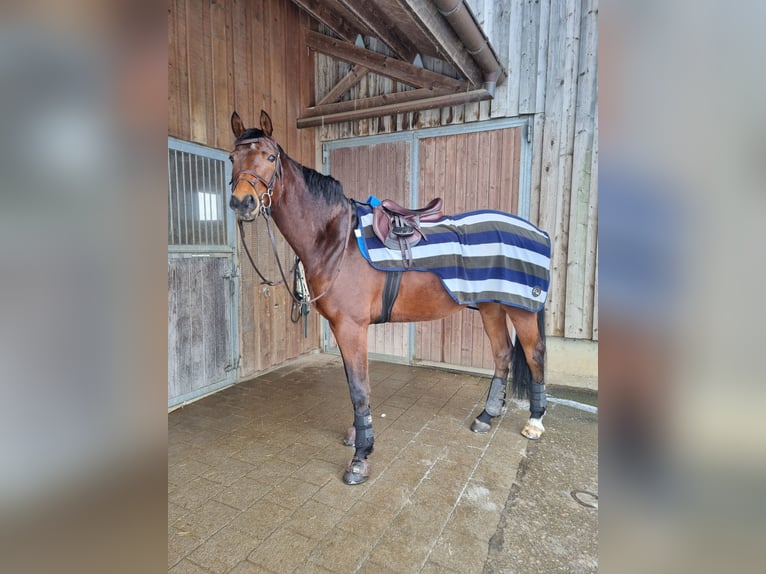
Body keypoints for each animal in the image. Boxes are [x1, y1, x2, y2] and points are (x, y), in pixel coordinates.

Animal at [228, 110, 549, 485]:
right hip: (491, 308)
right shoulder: (343, 328)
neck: (335, 239)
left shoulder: (351, 327)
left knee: (534, 355)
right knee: (502, 355)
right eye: (232, 157)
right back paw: (486, 416)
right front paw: (356, 435)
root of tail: (537, 231)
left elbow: (359, 388)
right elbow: (354, 384)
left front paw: (360, 457)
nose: (242, 202)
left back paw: (534, 422)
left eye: (270, 157)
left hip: (520, 311)